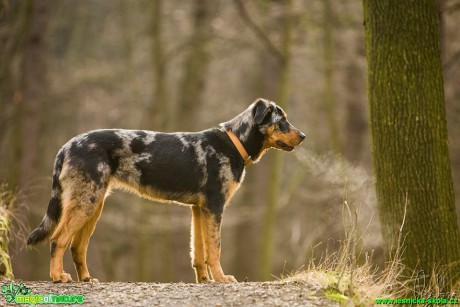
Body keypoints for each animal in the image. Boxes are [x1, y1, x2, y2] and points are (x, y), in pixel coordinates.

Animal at [26, 98, 306, 284]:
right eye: (281, 121)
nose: (303, 135)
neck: (234, 143)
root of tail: (66, 146)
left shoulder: (199, 209)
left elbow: (199, 252)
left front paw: (205, 281)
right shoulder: (215, 206)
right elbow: (214, 249)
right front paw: (221, 278)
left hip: (94, 205)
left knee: (77, 247)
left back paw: (86, 278)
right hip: (85, 202)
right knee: (58, 239)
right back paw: (58, 276)